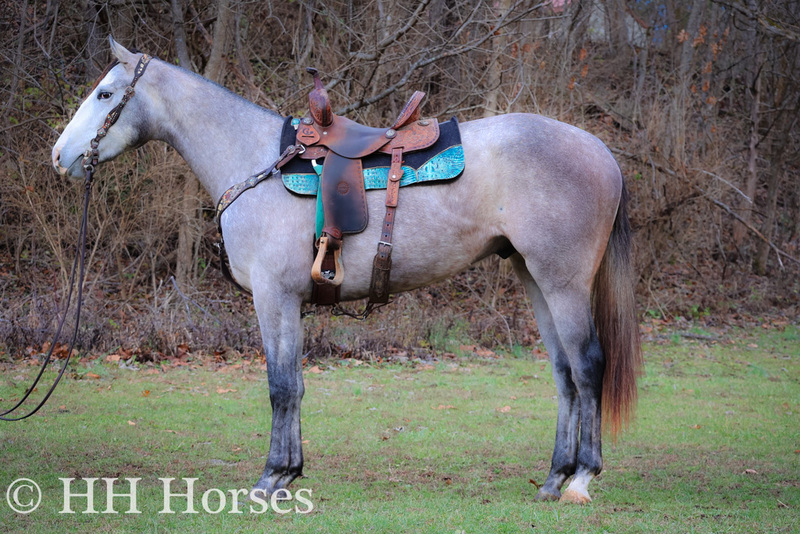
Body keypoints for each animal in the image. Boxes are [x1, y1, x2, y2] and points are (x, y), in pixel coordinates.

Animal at [51, 39, 644, 504]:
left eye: (105, 95)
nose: (60, 156)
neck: (255, 163)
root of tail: (598, 149)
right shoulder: (289, 302)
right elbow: (294, 384)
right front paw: (289, 473)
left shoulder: (273, 297)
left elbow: (280, 386)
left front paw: (269, 478)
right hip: (533, 278)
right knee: (564, 373)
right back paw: (553, 478)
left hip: (563, 283)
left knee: (587, 366)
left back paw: (581, 479)